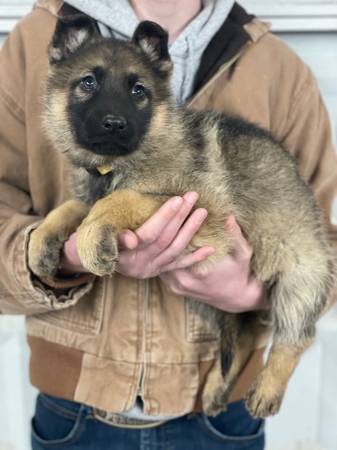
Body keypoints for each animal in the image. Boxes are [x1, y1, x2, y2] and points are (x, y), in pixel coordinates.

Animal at [28, 16, 334, 418]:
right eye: (88, 82)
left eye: (139, 90)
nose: (114, 123)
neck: (115, 165)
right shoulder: (93, 194)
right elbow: (71, 207)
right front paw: (41, 241)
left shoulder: (201, 210)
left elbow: (120, 198)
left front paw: (94, 235)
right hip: (206, 298)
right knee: (242, 338)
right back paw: (218, 387)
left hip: (300, 277)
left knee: (296, 335)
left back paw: (268, 387)